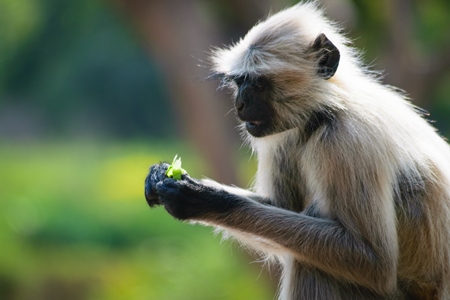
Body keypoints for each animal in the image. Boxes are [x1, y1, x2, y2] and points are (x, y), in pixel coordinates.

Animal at [144, 2, 450, 300]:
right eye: (239, 82)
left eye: (258, 84)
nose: (239, 104)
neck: (328, 109)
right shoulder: (287, 136)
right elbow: (280, 206)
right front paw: (162, 174)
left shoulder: (347, 140)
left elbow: (375, 261)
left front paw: (205, 199)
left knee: (313, 264)